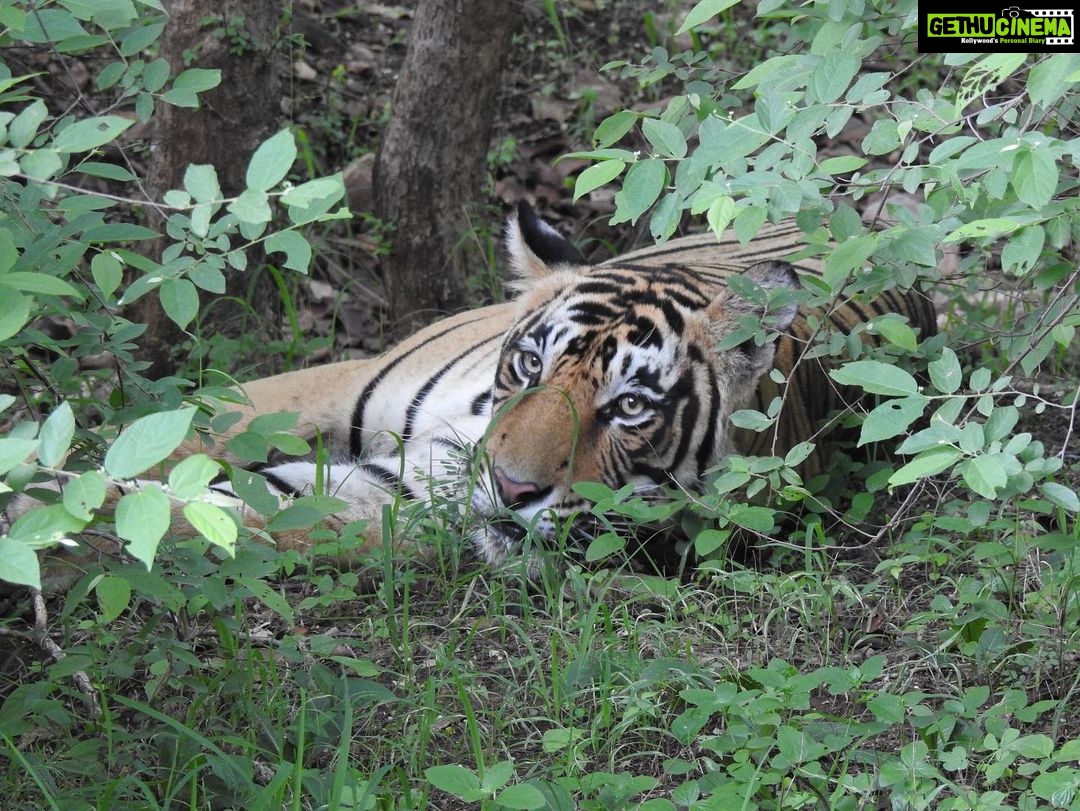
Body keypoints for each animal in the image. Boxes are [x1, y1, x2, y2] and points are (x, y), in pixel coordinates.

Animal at [15, 203, 937, 584]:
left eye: (630, 408)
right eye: (530, 364)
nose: (512, 488)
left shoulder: (388, 499)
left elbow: (221, 517)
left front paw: (43, 522)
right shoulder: (326, 386)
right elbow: (188, 433)